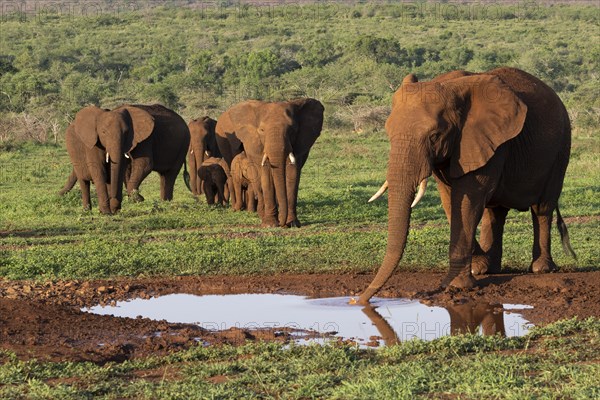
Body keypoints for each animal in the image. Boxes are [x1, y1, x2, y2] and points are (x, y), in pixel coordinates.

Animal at [216, 97, 324, 228]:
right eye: (262, 130)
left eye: (292, 130)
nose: (282, 224)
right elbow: (266, 174)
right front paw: (270, 225)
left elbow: (292, 174)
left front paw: (292, 223)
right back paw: (259, 214)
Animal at [356, 66, 576, 304]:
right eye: (388, 133)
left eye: (434, 136)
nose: (358, 300)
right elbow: (451, 200)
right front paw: (477, 268)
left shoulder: (486, 141)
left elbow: (468, 199)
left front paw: (456, 285)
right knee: (495, 212)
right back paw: (489, 269)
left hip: (561, 148)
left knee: (542, 207)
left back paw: (541, 268)